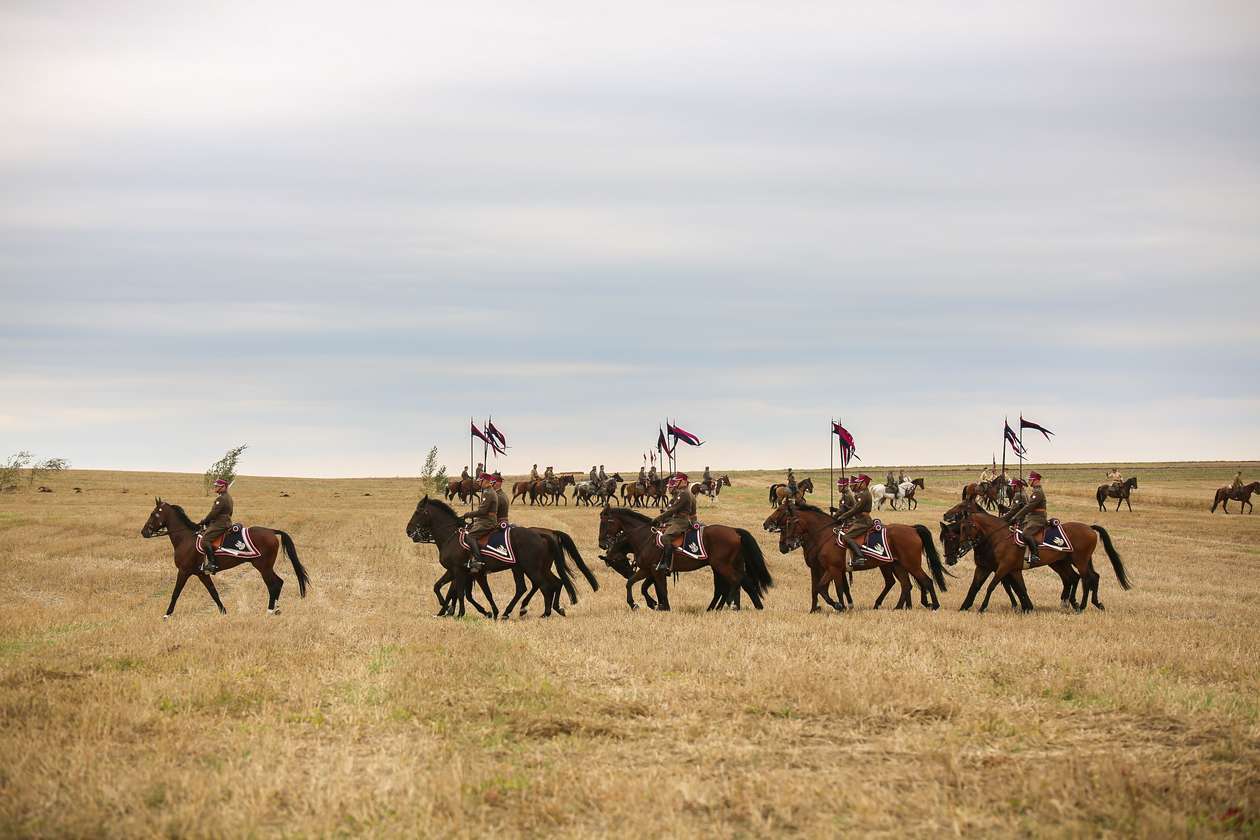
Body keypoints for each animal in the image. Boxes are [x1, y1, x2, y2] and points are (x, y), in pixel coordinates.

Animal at [141, 498, 309, 617]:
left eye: (153, 514)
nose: (144, 532)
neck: (185, 538)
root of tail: (271, 531)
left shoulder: (184, 571)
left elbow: (175, 593)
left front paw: (167, 614)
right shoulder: (202, 574)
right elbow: (213, 592)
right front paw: (224, 612)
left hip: (263, 567)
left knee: (273, 585)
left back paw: (269, 611)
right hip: (266, 567)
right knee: (279, 582)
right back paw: (276, 610)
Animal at [405, 496, 574, 622]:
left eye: (418, 512)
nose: (408, 530)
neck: (450, 536)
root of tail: (543, 534)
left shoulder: (460, 571)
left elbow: (459, 593)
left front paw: (458, 613)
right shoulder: (459, 572)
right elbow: (441, 588)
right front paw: (445, 611)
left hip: (531, 568)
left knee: (544, 586)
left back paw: (543, 612)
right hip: (528, 568)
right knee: (549, 584)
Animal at [594, 506, 771, 612]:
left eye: (605, 522)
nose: (602, 543)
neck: (643, 537)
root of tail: (734, 531)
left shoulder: (655, 571)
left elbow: (657, 589)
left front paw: (660, 606)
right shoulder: (648, 570)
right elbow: (635, 585)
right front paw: (647, 604)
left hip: (722, 566)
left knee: (734, 582)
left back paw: (731, 605)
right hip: (727, 566)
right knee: (741, 583)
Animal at [776, 503, 947, 614]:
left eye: (788, 523)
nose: (784, 546)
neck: (824, 536)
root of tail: (912, 529)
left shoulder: (833, 569)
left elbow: (825, 588)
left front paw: (839, 606)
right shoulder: (829, 570)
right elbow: (823, 588)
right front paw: (830, 607)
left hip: (911, 564)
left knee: (926, 581)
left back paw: (934, 605)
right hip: (897, 565)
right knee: (906, 585)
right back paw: (898, 608)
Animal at [952, 503, 1134, 614]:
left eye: (967, 526)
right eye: (961, 527)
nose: (961, 547)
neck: (999, 537)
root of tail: (1089, 528)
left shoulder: (1004, 568)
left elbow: (992, 586)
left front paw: (982, 607)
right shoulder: (997, 568)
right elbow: (979, 587)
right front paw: (964, 607)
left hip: (1080, 560)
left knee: (1086, 578)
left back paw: (1081, 606)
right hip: (1064, 562)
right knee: (1085, 577)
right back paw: (1091, 603)